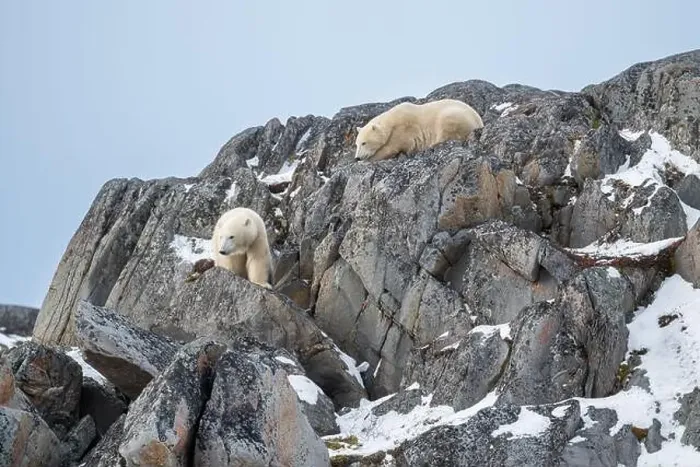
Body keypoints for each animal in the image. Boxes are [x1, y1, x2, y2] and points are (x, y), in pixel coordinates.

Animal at [354, 99, 484, 162]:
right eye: (356, 144)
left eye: (364, 143)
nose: (357, 158)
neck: (391, 120)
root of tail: (479, 121)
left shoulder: (403, 129)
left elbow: (392, 147)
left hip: (455, 115)